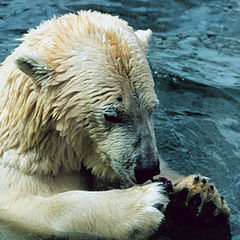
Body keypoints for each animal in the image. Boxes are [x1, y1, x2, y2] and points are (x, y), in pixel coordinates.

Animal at [0, 10, 230, 239]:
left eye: (151, 108)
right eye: (112, 115)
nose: (147, 168)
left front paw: (198, 194)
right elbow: (39, 208)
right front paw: (143, 202)